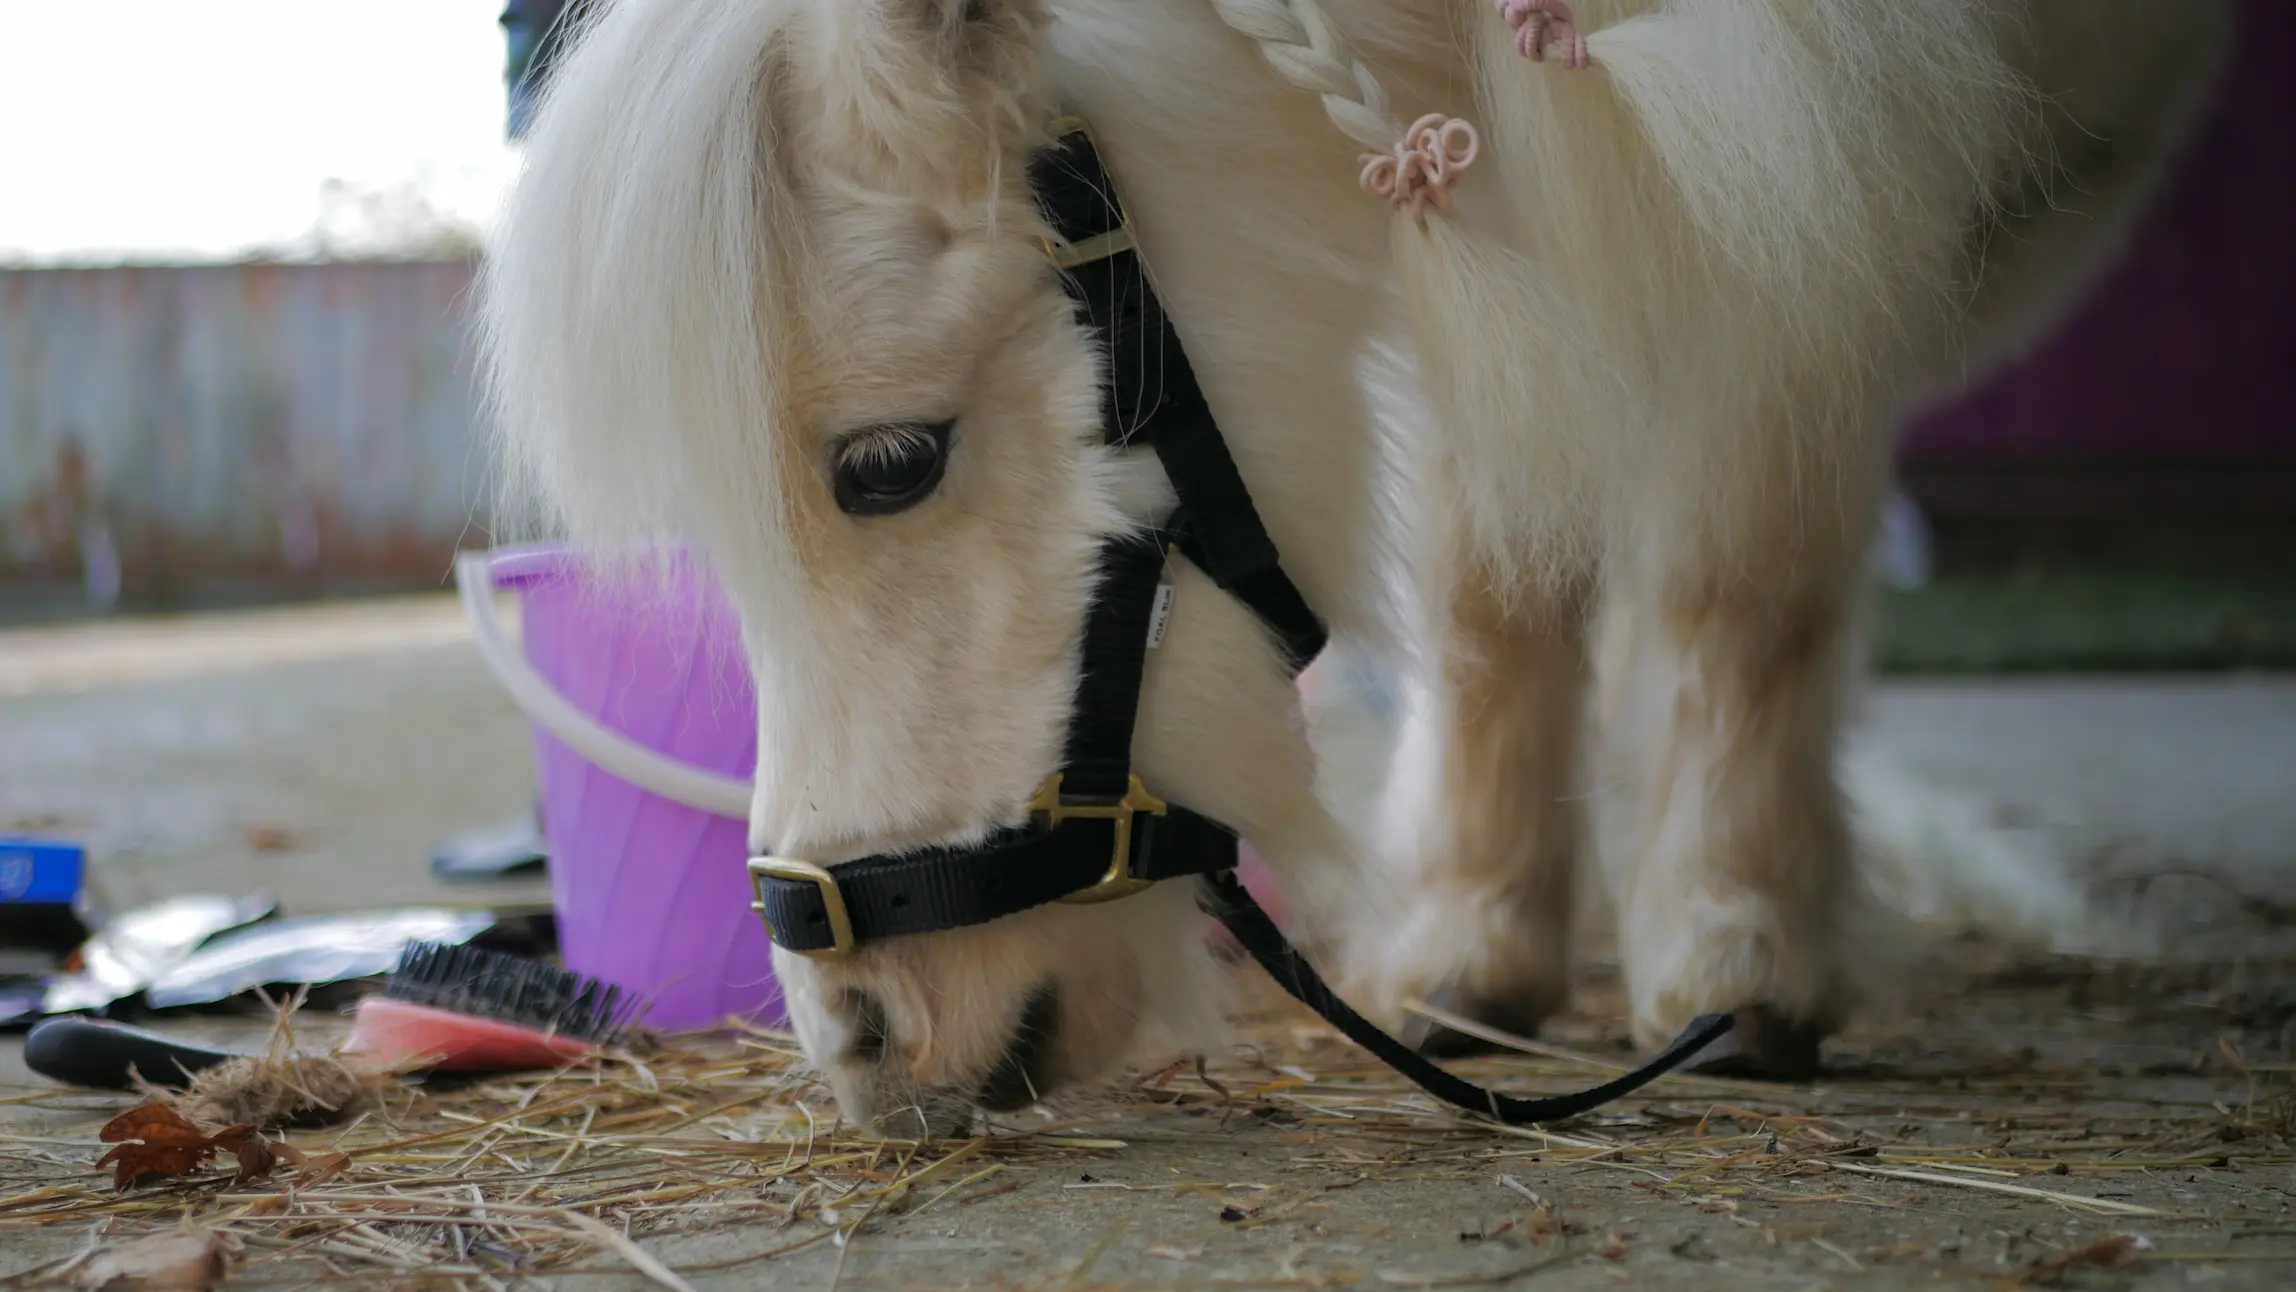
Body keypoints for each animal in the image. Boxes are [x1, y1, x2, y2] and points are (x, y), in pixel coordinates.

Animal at [478, 0, 2233, 1133]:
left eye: (888, 465)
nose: (859, 1043)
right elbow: (1490, 587)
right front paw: (1468, 954)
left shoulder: (1786, 197)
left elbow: (1732, 574)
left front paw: (1738, 958)